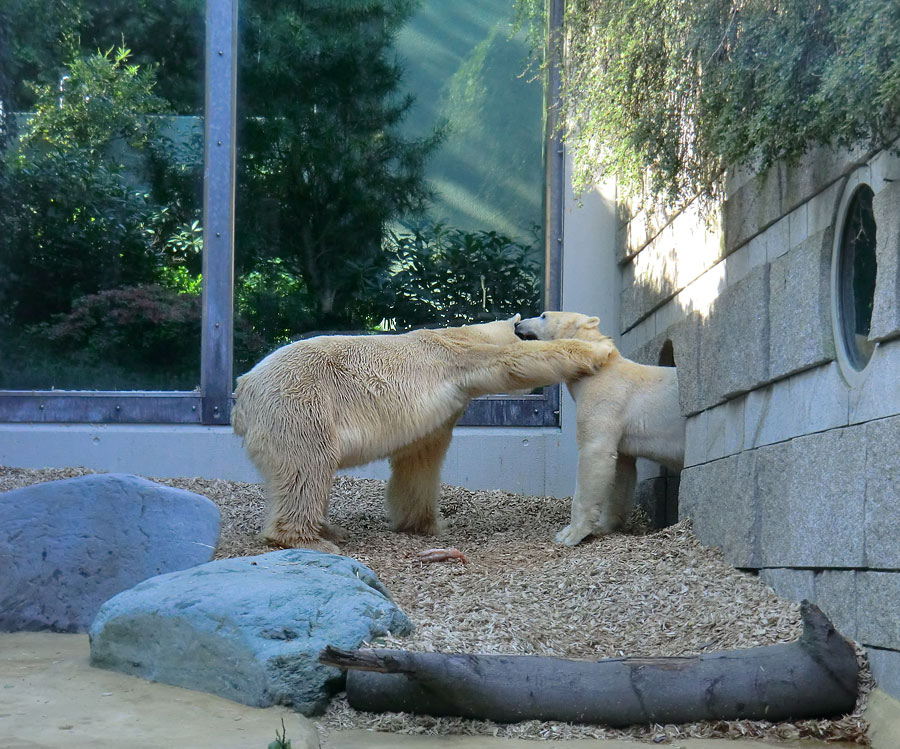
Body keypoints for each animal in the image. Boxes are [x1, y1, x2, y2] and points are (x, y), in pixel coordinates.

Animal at [232, 312, 616, 552]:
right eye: (524, 325)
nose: (523, 322)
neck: (466, 332)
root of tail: (243, 392)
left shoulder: (438, 414)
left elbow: (418, 461)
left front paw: (427, 524)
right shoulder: (458, 356)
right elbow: (516, 360)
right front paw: (599, 348)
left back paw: (330, 529)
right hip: (301, 407)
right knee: (308, 466)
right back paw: (308, 538)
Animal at [512, 308, 684, 544]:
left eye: (543, 316)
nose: (517, 324)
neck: (598, 366)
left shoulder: (605, 398)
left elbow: (595, 452)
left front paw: (570, 534)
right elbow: (621, 469)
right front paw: (604, 525)